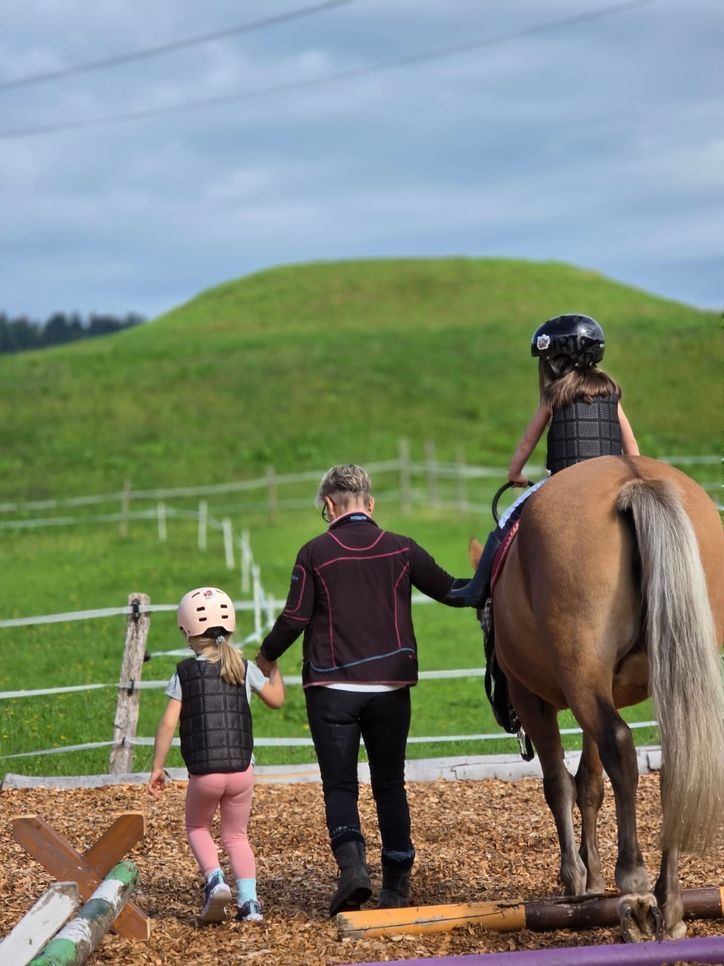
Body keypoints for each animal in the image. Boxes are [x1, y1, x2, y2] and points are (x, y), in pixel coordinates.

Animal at [471, 455, 724, 942]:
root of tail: (634, 480)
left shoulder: (535, 698)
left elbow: (559, 784)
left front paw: (574, 878)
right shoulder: (592, 691)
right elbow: (590, 783)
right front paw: (593, 877)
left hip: (578, 672)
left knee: (619, 747)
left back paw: (636, 889)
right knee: (674, 763)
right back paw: (670, 899)